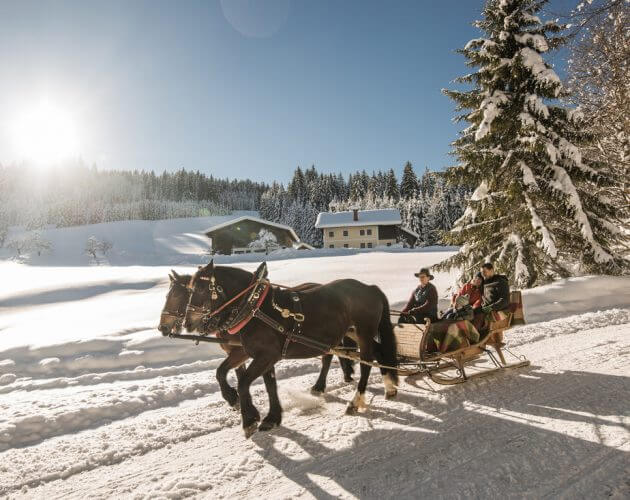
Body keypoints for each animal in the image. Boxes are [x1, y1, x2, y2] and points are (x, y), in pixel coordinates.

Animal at [158, 270, 356, 410]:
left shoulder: (242, 351)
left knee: (328, 356)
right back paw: (345, 375)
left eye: (176, 295)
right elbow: (233, 373)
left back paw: (323, 384)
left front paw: (236, 400)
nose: (162, 327)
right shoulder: (240, 353)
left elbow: (229, 373)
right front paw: (238, 400)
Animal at [184, 260, 400, 436]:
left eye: (201, 289)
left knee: (366, 363)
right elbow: (235, 376)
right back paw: (389, 387)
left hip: (364, 332)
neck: (254, 307)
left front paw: (249, 419)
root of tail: (370, 288)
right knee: (377, 352)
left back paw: (355, 401)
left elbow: (244, 383)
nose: (187, 323)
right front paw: (267, 416)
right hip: (353, 332)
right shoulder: (254, 353)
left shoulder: (265, 355)